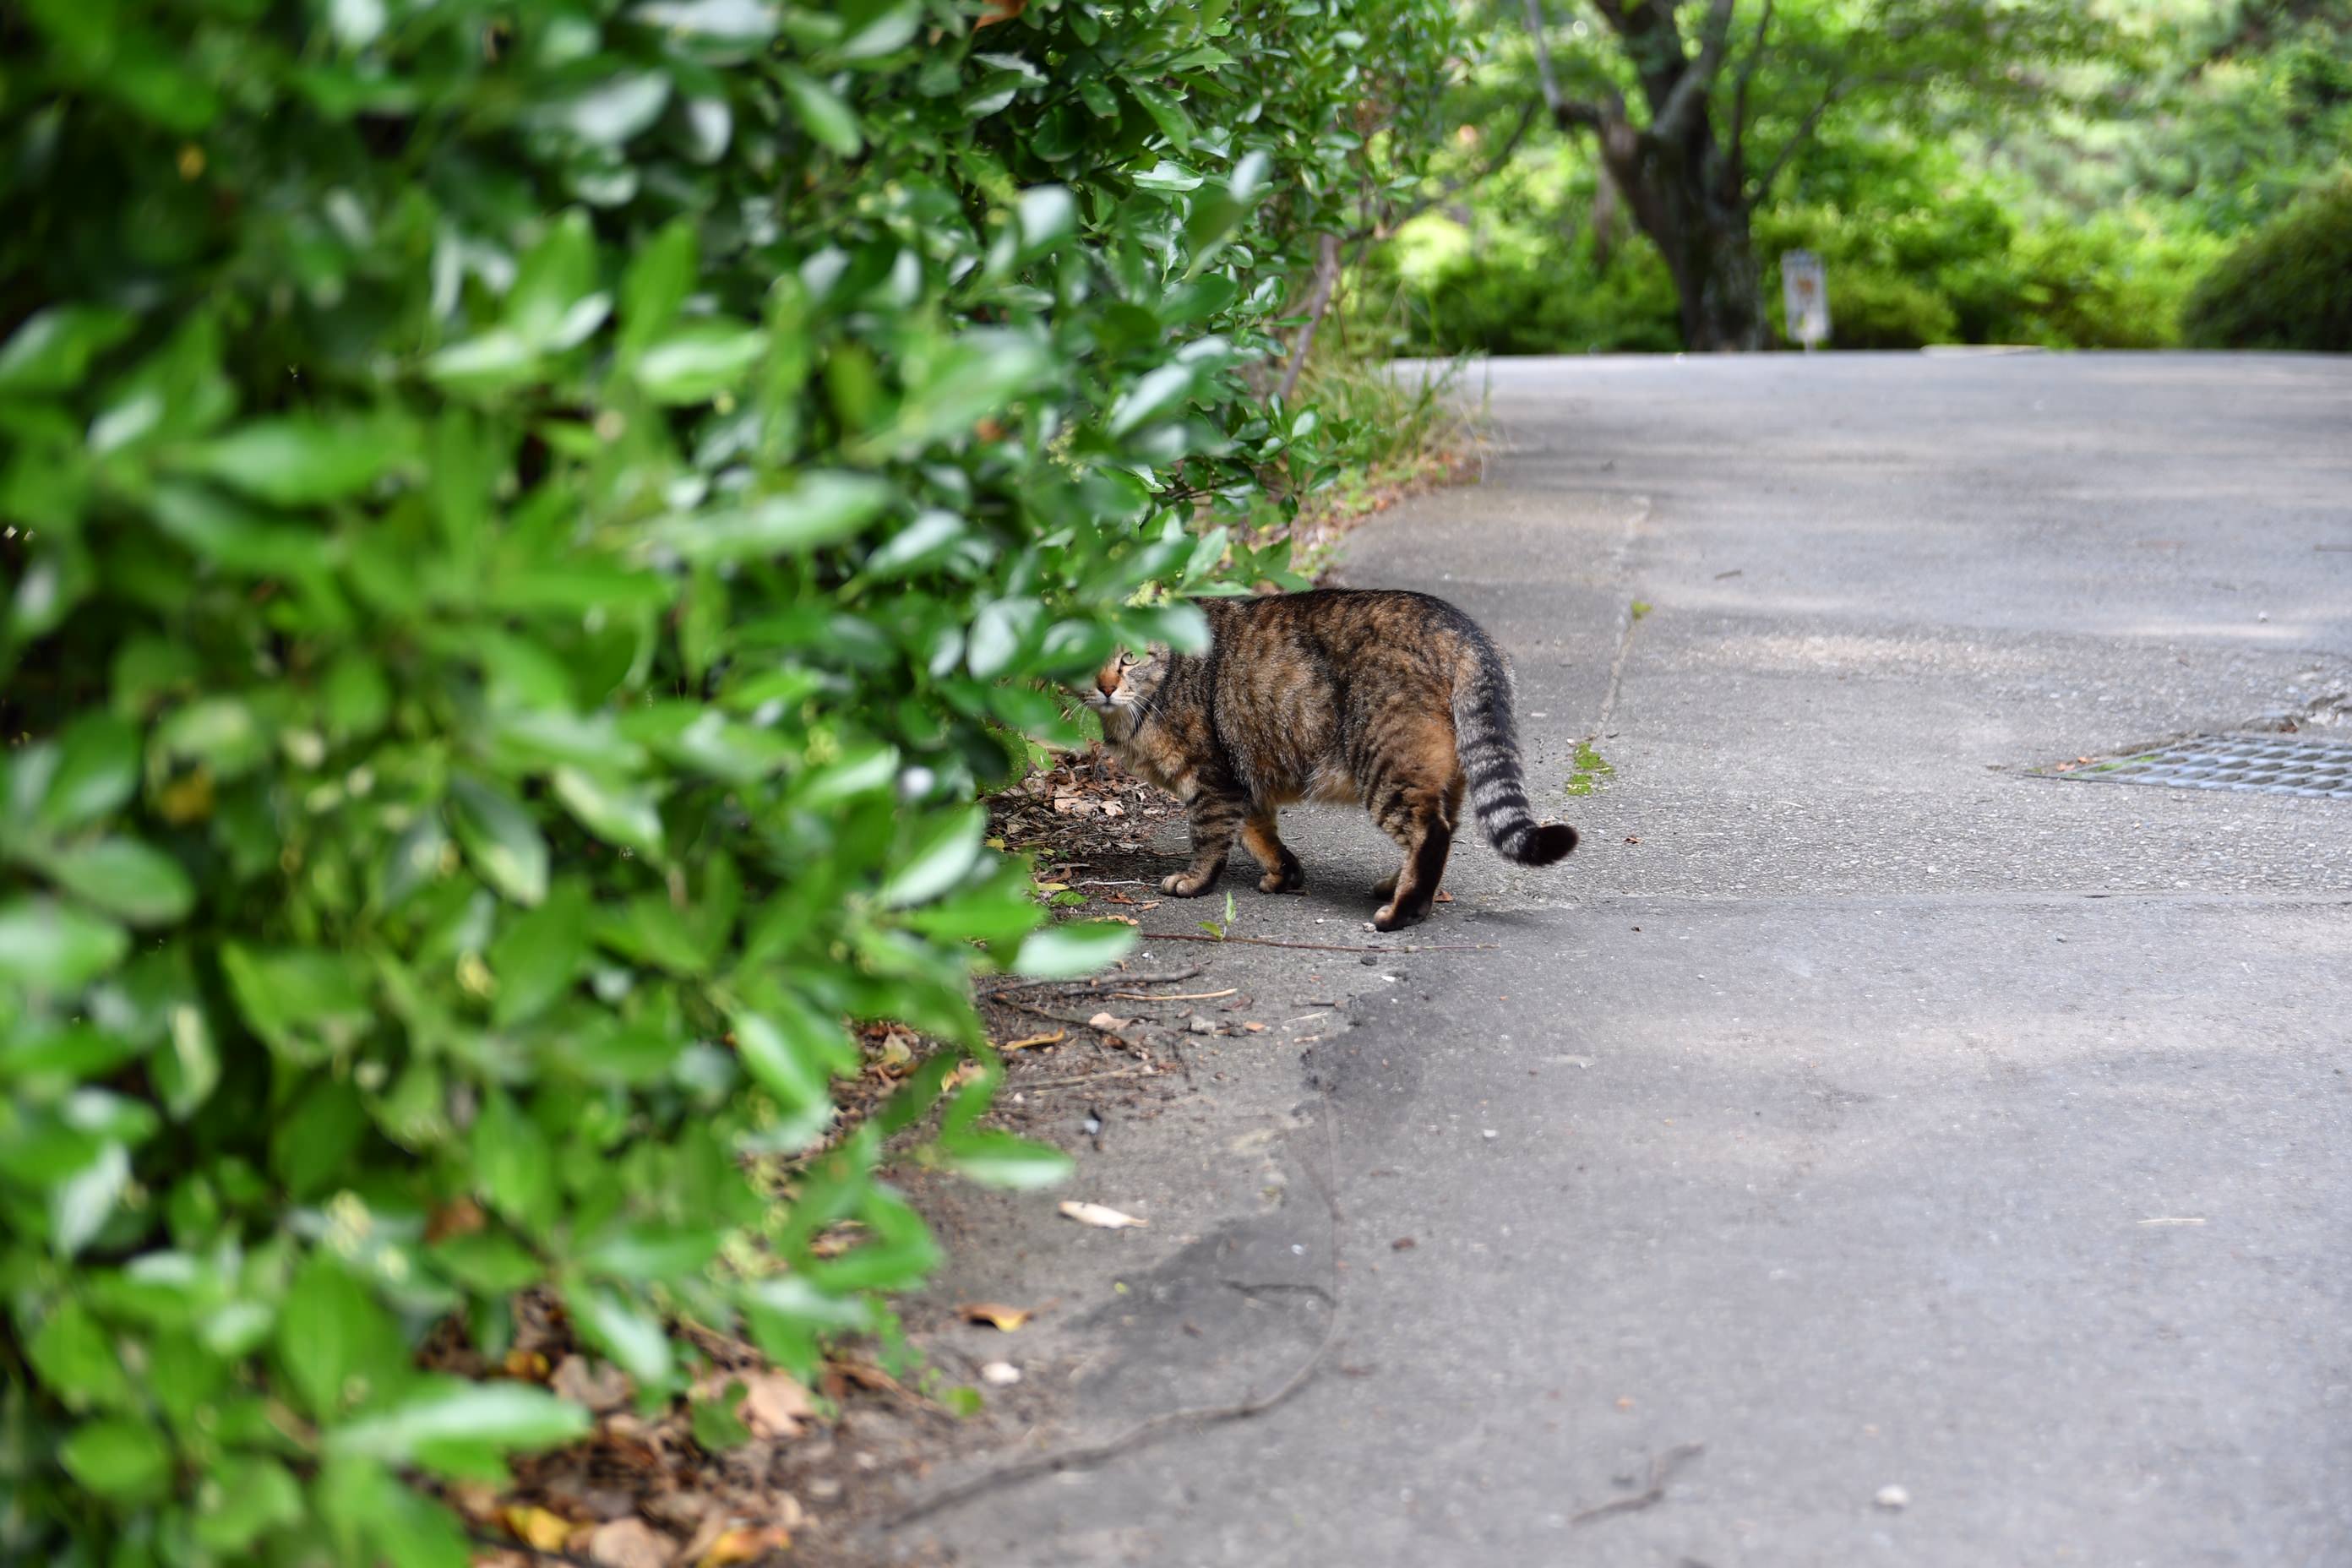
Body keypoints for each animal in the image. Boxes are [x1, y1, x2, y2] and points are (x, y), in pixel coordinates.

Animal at [1083, 588, 1577, 930]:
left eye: (1128, 657)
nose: (1105, 686)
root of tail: (1463, 630)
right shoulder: (1244, 779)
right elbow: (1258, 834)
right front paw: (1284, 874)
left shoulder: (1213, 779)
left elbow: (1209, 837)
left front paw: (1195, 881)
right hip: (1438, 776)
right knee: (1443, 828)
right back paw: (1398, 883)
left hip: (1385, 763)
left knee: (1431, 832)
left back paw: (1403, 911)